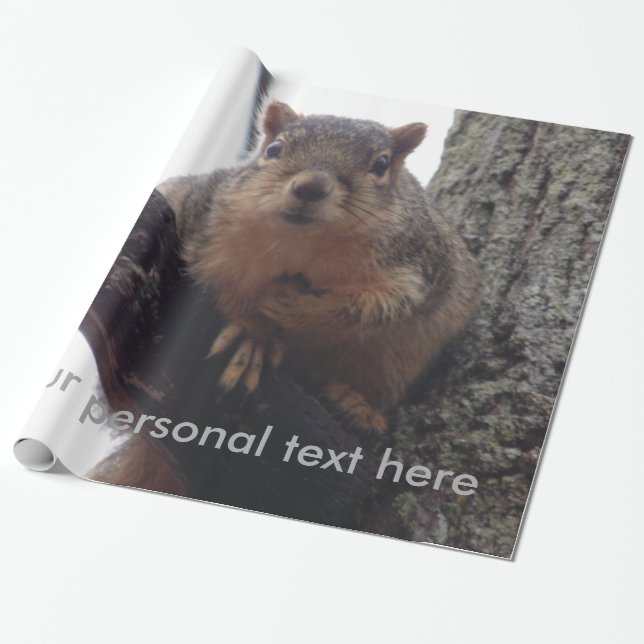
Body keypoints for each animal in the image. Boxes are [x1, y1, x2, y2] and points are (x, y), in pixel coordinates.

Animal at [156, 101, 481, 433]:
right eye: (274, 148)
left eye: (381, 165)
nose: (311, 187)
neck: (305, 243)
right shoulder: (206, 225)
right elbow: (215, 280)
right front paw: (252, 333)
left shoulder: (419, 269)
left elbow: (376, 306)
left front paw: (296, 306)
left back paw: (355, 404)